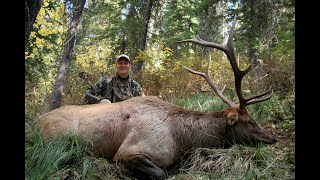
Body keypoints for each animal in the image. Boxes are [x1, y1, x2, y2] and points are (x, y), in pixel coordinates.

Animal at [37, 18, 276, 180]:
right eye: (250, 122)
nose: (273, 138)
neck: (182, 140)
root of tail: (37, 121)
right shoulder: (129, 150)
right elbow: (161, 172)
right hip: (56, 139)